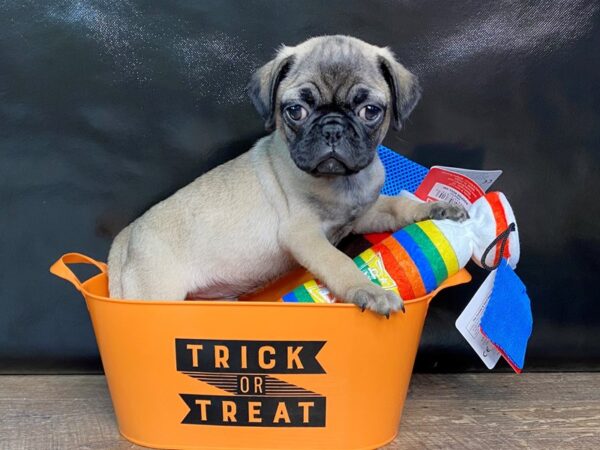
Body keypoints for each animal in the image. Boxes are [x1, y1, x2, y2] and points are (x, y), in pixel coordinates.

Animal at [108, 35, 466, 314]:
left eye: (370, 111)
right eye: (295, 111)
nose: (332, 128)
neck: (343, 183)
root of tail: (127, 238)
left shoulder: (364, 214)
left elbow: (397, 206)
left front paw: (435, 208)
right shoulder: (305, 236)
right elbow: (339, 262)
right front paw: (371, 290)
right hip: (156, 293)